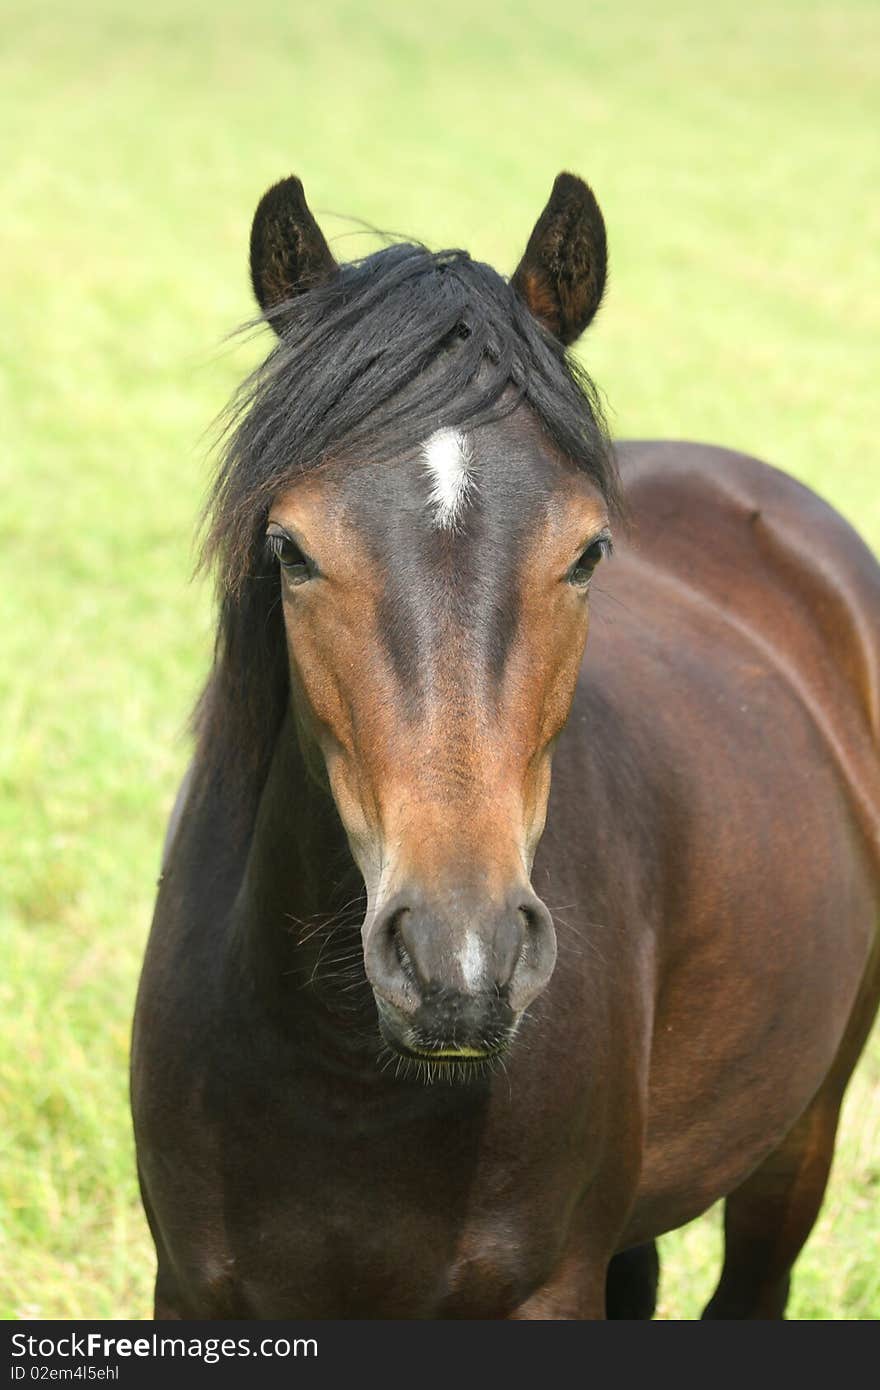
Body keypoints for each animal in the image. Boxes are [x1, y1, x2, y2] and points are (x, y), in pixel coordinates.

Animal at [130, 173, 878, 1312]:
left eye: (589, 552)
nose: (459, 961)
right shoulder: (190, 1288)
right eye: (290, 550)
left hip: (799, 1139)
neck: (344, 1073)